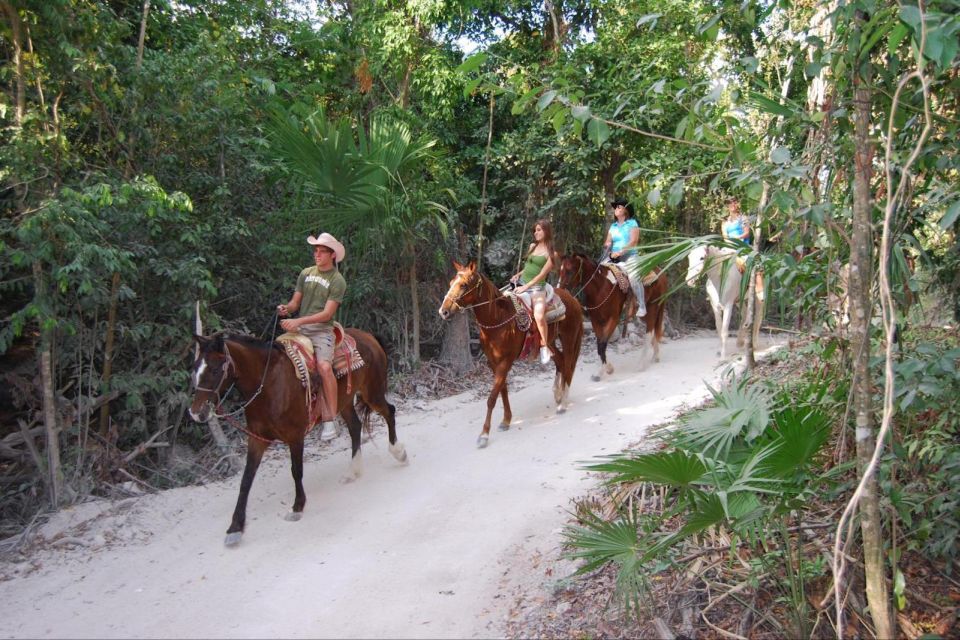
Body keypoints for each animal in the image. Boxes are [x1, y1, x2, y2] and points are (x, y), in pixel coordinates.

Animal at [189, 330, 406, 544]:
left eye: (215, 370)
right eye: (195, 369)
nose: (196, 413)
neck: (269, 385)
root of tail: (369, 336)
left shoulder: (295, 436)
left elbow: (296, 470)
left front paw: (297, 506)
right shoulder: (257, 439)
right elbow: (246, 479)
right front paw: (235, 527)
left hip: (372, 392)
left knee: (389, 412)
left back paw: (399, 453)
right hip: (344, 401)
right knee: (355, 427)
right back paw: (352, 471)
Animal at [436, 260, 584, 450]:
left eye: (463, 285)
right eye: (450, 283)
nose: (444, 311)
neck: (498, 319)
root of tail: (573, 299)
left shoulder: (505, 361)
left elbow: (492, 397)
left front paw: (484, 434)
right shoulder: (494, 362)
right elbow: (503, 391)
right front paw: (506, 421)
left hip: (569, 338)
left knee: (567, 365)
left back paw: (563, 403)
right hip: (550, 342)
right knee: (560, 361)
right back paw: (558, 397)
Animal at [556, 251, 668, 380]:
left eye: (569, 271)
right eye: (559, 270)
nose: (559, 291)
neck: (601, 287)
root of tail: (660, 271)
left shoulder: (613, 319)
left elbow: (602, 344)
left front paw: (604, 371)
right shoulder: (596, 321)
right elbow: (599, 345)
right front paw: (605, 369)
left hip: (653, 307)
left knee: (649, 333)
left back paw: (641, 364)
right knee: (654, 329)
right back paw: (655, 355)